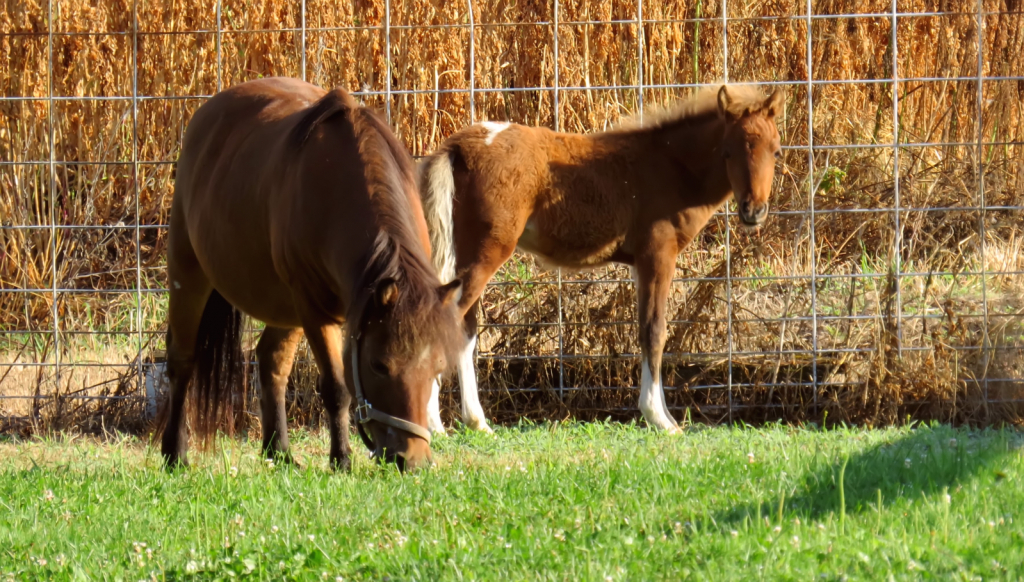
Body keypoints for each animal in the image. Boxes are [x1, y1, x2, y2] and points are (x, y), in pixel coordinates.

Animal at [162, 74, 464, 471]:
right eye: (379, 365)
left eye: (438, 366)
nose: (412, 459)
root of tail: (206, 114)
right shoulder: (314, 308)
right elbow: (336, 387)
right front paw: (342, 459)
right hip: (190, 274)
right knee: (182, 360)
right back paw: (174, 453)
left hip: (283, 305)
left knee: (271, 361)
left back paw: (279, 450)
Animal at [417, 85, 782, 432]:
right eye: (728, 152)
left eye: (776, 150)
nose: (754, 211)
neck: (671, 166)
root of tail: (460, 145)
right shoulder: (657, 255)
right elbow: (654, 330)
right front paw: (660, 419)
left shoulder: (640, 264)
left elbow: (645, 329)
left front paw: (662, 414)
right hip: (489, 251)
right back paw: (440, 423)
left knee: (463, 327)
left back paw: (468, 423)